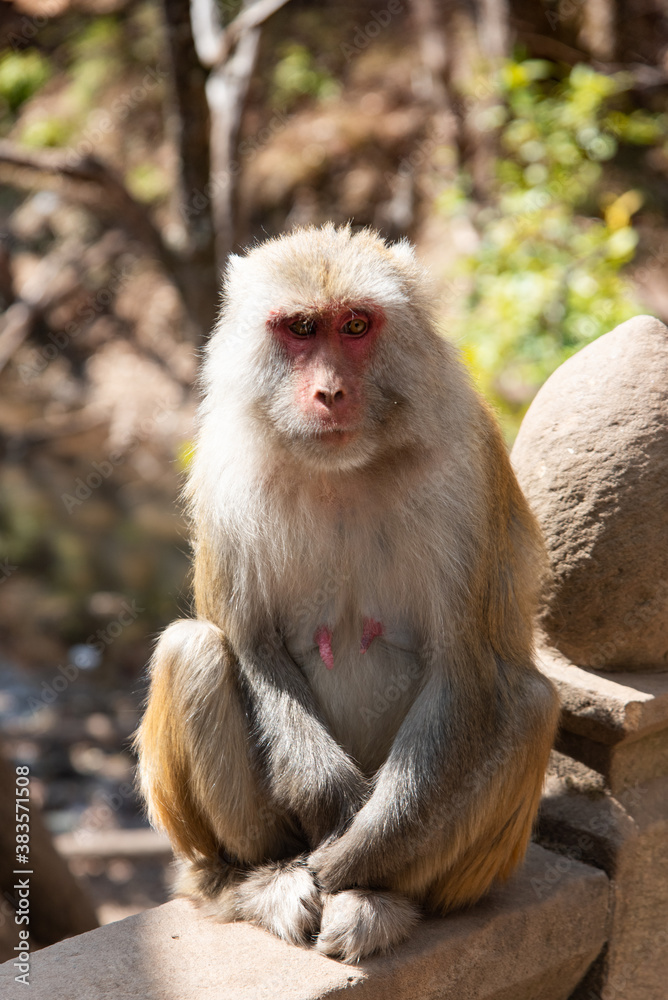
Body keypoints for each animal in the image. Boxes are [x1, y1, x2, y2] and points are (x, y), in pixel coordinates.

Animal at [136, 224, 560, 964]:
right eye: (302, 328)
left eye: (356, 325)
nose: (330, 392)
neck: (342, 469)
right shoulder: (222, 467)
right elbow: (252, 644)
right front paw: (330, 797)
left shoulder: (465, 463)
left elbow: (461, 668)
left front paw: (362, 852)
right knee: (194, 651)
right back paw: (248, 882)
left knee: (527, 700)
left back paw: (379, 899)